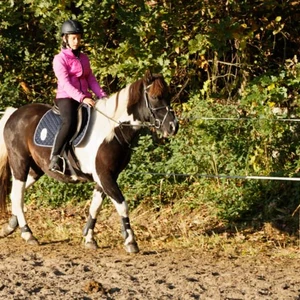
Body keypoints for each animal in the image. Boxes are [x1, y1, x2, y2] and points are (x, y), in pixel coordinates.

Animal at [0, 71, 178, 253]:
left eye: (169, 95)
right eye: (155, 97)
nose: (173, 127)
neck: (112, 131)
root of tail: (14, 113)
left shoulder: (106, 177)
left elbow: (95, 206)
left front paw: (89, 238)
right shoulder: (104, 176)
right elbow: (122, 205)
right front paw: (130, 242)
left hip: (37, 169)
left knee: (16, 193)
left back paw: (11, 226)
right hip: (20, 163)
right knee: (17, 194)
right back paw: (28, 233)